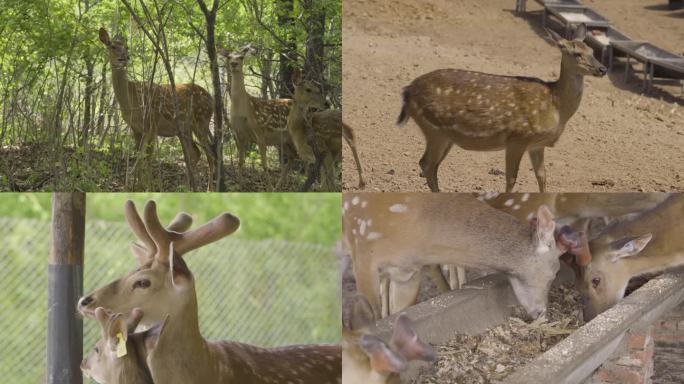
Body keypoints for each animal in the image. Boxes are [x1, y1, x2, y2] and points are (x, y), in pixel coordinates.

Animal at [219, 45, 300, 188]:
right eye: (229, 57)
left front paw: (268, 187)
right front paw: (240, 185)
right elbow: (240, 162)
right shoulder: (239, 135)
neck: (243, 110)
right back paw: (278, 186)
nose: (234, 64)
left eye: (241, 57)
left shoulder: (259, 132)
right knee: (293, 157)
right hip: (284, 140)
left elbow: (264, 165)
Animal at [398, 24, 608, 192]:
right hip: (434, 129)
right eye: (576, 54)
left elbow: (542, 176)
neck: (555, 105)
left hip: (445, 136)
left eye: (592, 51)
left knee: (431, 166)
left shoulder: (536, 144)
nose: (603, 69)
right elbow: (512, 178)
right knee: (426, 164)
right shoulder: (518, 138)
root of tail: (407, 91)